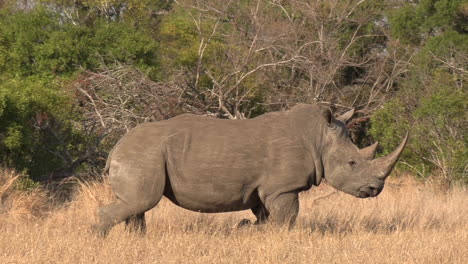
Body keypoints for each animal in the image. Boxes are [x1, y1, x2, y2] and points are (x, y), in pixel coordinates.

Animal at [93, 103, 408, 235]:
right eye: (352, 163)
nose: (375, 189)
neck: (319, 137)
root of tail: (115, 148)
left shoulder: (264, 188)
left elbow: (265, 216)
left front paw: (247, 229)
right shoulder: (283, 187)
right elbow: (287, 218)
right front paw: (276, 239)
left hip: (144, 155)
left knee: (137, 205)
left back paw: (137, 242)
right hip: (143, 155)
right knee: (142, 201)